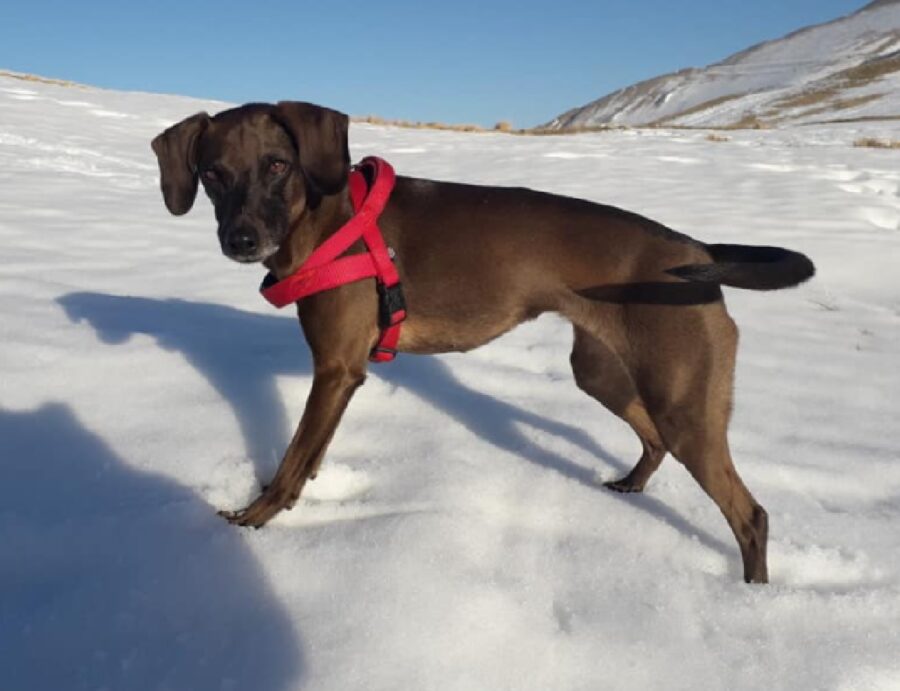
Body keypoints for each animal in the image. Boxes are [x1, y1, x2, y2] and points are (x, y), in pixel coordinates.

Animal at [151, 98, 812, 584]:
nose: (241, 239)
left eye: (277, 165)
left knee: (750, 513)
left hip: (684, 401)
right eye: (212, 173)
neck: (326, 221)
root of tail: (697, 249)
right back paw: (629, 485)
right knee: (653, 444)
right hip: (601, 370)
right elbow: (307, 459)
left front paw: (252, 520)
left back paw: (752, 597)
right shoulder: (337, 374)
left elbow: (292, 461)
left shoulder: (337, 369)